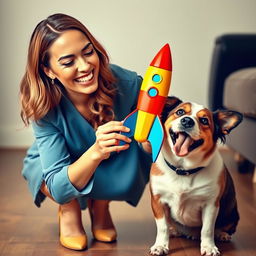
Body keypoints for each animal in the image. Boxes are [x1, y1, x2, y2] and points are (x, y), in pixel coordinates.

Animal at [149, 96, 243, 256]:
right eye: (180, 112)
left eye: (204, 120)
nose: (187, 121)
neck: (183, 169)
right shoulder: (158, 200)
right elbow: (162, 227)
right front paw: (161, 245)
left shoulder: (211, 204)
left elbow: (207, 229)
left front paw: (208, 247)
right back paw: (175, 231)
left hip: (232, 213)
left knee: (223, 228)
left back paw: (222, 234)